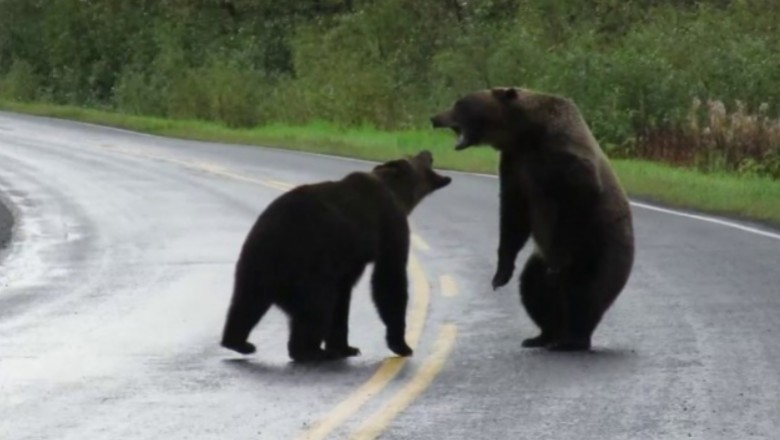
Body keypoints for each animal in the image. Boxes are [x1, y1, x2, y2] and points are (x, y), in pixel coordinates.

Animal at [219, 150, 450, 362]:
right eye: (417, 156)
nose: (428, 151)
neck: (398, 194)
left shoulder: (346, 262)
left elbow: (343, 297)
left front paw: (346, 347)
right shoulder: (389, 226)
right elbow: (389, 279)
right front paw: (401, 345)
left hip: (256, 262)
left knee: (247, 302)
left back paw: (239, 342)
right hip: (304, 265)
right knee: (317, 306)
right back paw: (311, 351)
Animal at [430, 87, 636, 350]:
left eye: (460, 103)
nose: (435, 117)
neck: (525, 134)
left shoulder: (562, 156)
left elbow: (579, 194)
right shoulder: (515, 164)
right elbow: (513, 214)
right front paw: (500, 274)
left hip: (599, 251)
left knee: (583, 291)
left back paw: (573, 339)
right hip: (541, 260)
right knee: (533, 286)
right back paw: (543, 335)